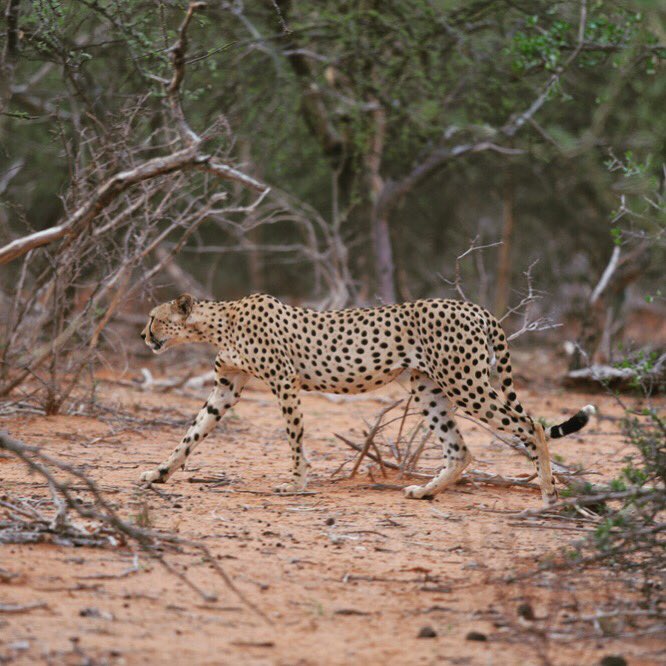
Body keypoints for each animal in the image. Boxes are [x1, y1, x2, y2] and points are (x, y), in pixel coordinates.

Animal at [139, 293, 594, 505]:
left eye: (154, 318)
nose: (144, 335)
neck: (219, 322)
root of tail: (476, 308)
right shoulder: (226, 386)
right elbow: (191, 435)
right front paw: (158, 474)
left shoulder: (285, 382)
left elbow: (295, 438)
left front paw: (296, 483)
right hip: (427, 387)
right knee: (460, 450)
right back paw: (424, 491)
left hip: (466, 384)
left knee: (532, 426)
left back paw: (547, 496)